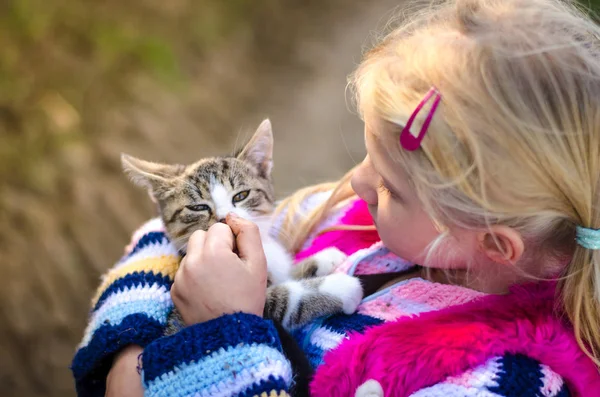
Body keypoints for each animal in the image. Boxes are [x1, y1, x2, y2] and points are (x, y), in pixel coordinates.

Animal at [120, 118, 360, 334]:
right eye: (198, 207)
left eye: (241, 195)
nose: (225, 218)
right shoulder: (258, 306)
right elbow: (283, 299)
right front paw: (340, 287)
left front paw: (321, 259)